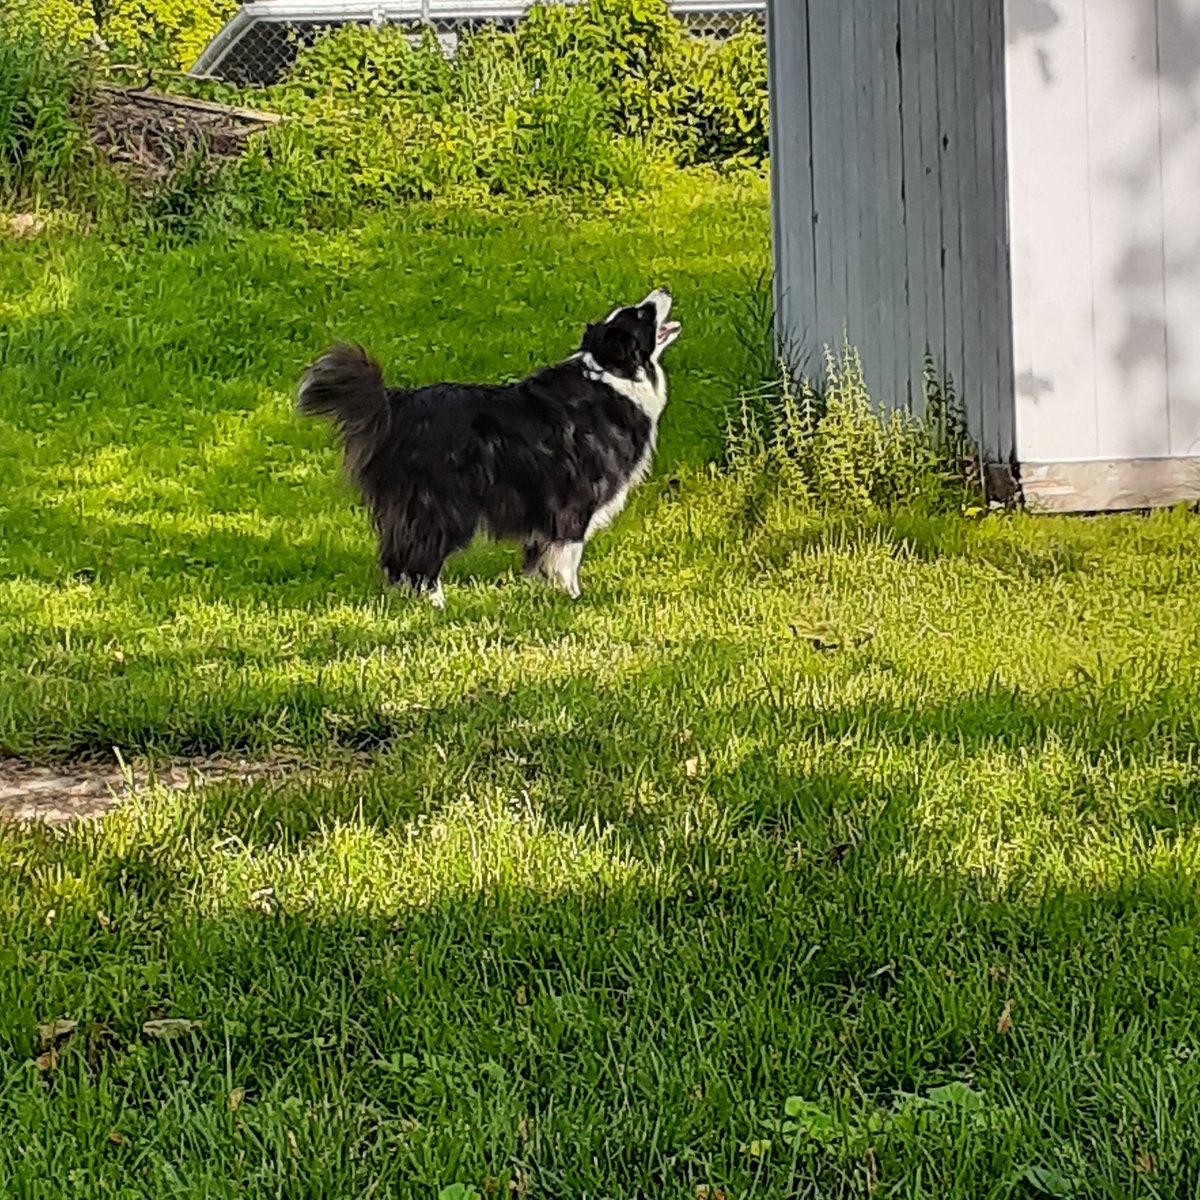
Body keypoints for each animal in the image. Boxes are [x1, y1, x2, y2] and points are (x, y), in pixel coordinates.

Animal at [296, 285, 681, 604]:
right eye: (642, 314)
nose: (664, 288)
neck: (613, 374)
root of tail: (398, 405)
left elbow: (540, 554)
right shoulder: (574, 497)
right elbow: (568, 555)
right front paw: (572, 598)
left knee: (395, 555)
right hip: (443, 504)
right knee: (420, 555)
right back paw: (435, 603)